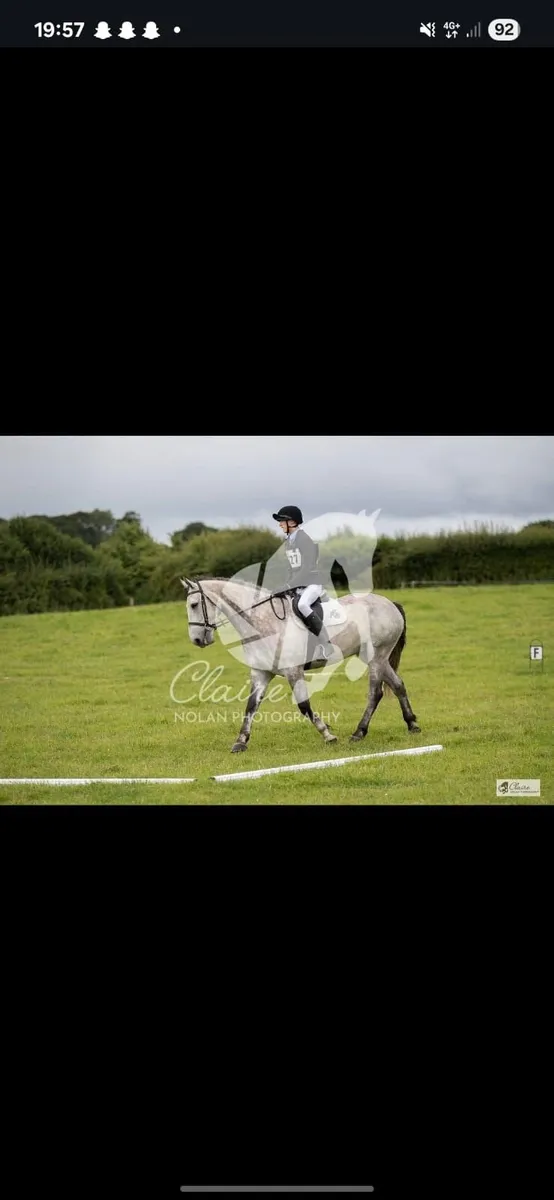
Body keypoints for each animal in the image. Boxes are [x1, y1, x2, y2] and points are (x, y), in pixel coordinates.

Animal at [180, 575, 420, 753]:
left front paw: (328, 734)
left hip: (375, 657)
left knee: (375, 693)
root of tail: (390, 603)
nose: (197, 640)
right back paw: (412, 724)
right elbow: (251, 707)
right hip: (376, 657)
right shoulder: (261, 672)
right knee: (398, 685)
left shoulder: (293, 671)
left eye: (194, 604)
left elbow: (304, 706)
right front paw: (240, 742)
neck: (263, 622)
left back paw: (359, 732)